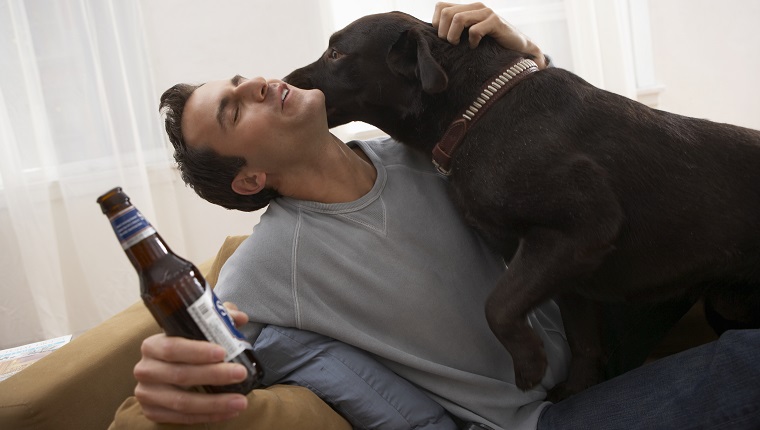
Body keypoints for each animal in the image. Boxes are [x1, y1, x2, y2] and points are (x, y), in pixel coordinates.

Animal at [284, 10, 760, 400]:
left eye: (335, 53)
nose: (283, 82)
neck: (475, 112)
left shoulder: (581, 228)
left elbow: (498, 305)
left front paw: (531, 365)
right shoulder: (567, 275)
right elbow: (582, 340)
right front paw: (576, 390)